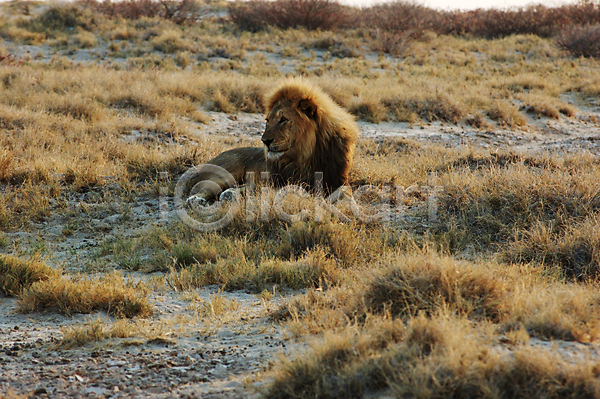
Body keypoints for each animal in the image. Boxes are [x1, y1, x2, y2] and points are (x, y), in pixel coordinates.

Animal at [185, 79, 358, 206]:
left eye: (283, 120)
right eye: (268, 120)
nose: (265, 141)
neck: (306, 157)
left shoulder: (339, 180)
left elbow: (347, 196)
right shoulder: (277, 180)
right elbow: (261, 188)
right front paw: (231, 194)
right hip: (225, 174)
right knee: (204, 189)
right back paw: (197, 201)